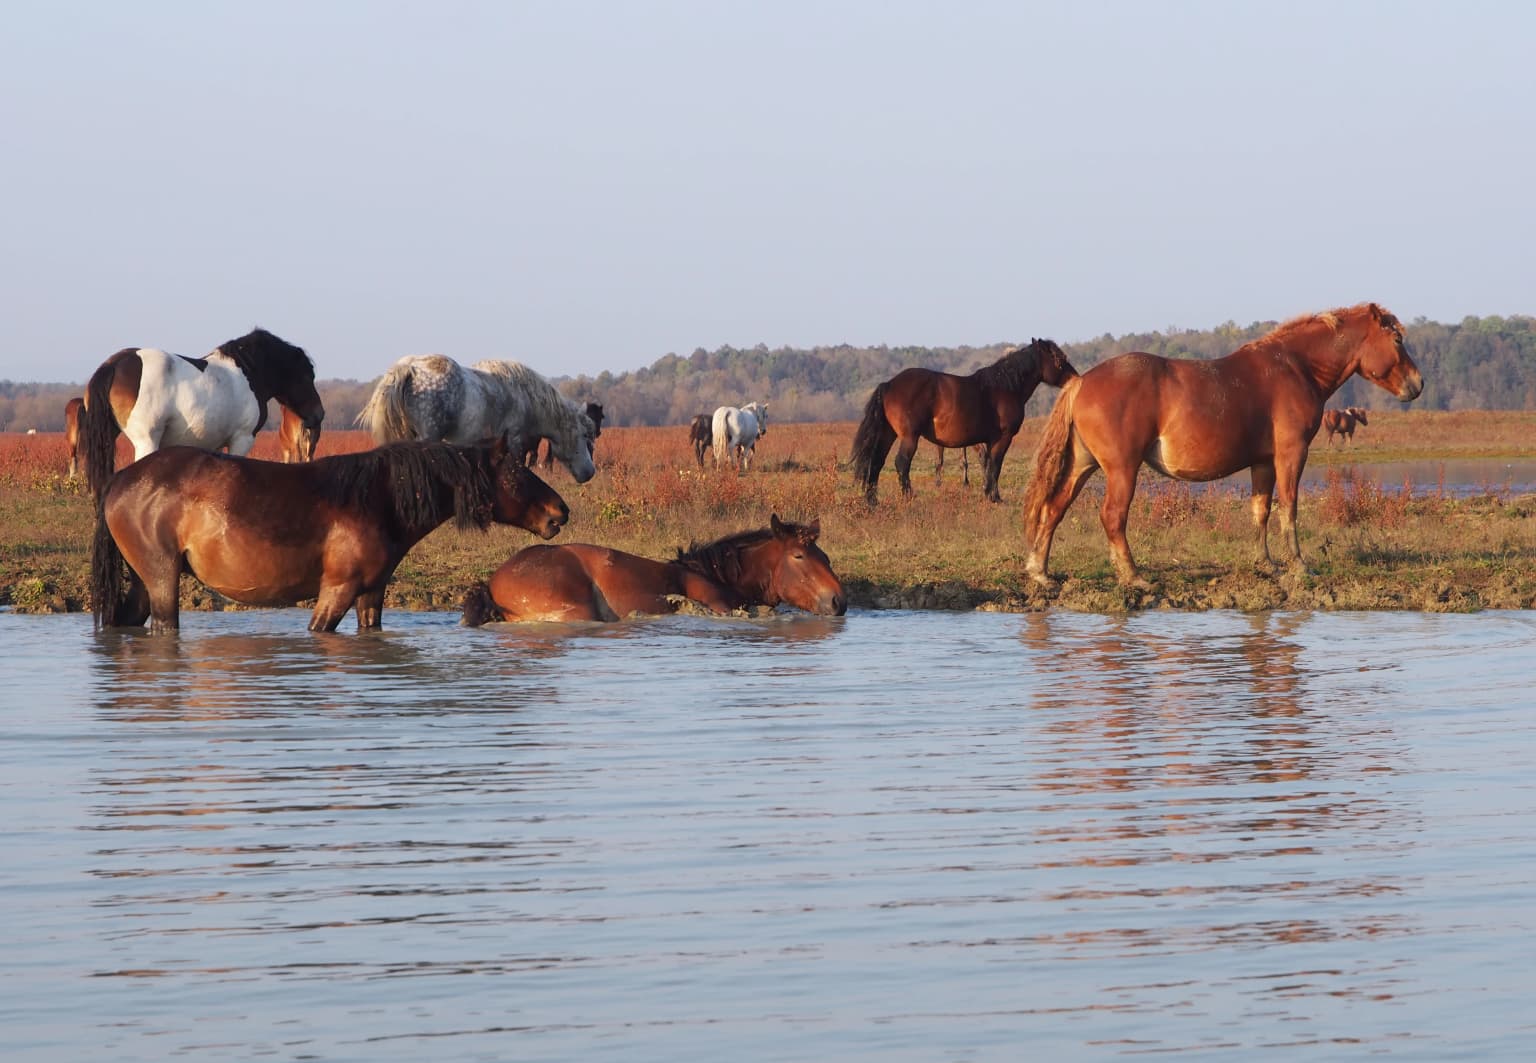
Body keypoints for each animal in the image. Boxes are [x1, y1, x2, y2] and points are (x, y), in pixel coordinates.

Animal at [79, 328, 324, 500]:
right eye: (307, 375)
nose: (318, 415)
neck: (248, 374)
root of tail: (115, 364)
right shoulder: (241, 439)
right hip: (147, 441)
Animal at [91, 438, 569, 634]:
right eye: (517, 471)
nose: (559, 512)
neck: (377, 498)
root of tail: (121, 478)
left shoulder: (371, 592)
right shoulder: (337, 590)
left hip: (143, 581)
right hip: (161, 579)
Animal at [849, 338, 1078, 503]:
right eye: (1059, 359)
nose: (1075, 380)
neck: (1005, 388)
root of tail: (888, 384)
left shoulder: (988, 441)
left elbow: (988, 465)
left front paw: (988, 494)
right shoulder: (1002, 438)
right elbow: (996, 465)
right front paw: (994, 498)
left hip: (888, 434)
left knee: (876, 463)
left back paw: (872, 501)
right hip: (909, 437)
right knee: (901, 463)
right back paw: (908, 497)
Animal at [1021, 303, 1423, 590]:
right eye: (1397, 340)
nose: (1418, 384)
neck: (1295, 367)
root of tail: (1081, 382)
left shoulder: (1263, 462)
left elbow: (1261, 511)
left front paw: (1266, 564)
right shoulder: (1291, 455)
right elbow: (1289, 508)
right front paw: (1298, 566)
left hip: (1082, 464)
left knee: (1054, 508)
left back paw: (1040, 570)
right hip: (1121, 469)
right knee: (1112, 517)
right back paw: (1133, 576)